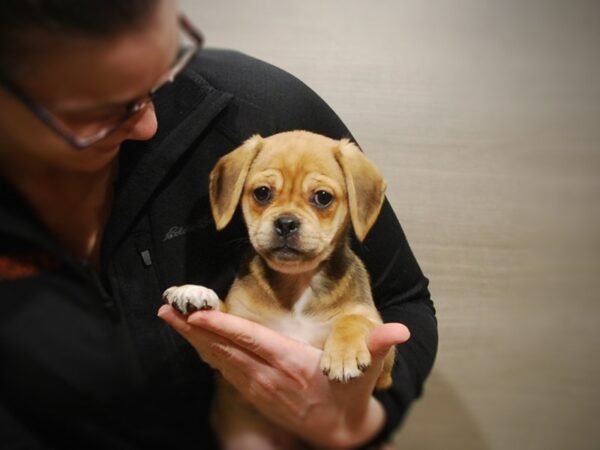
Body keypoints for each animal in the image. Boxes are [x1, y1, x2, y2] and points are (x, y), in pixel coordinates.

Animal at [163, 131, 394, 450]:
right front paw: (194, 291)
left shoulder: (385, 365)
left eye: (323, 198)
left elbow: (354, 319)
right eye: (262, 193)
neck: (297, 284)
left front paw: (343, 354)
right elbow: (223, 305)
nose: (286, 223)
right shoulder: (238, 323)